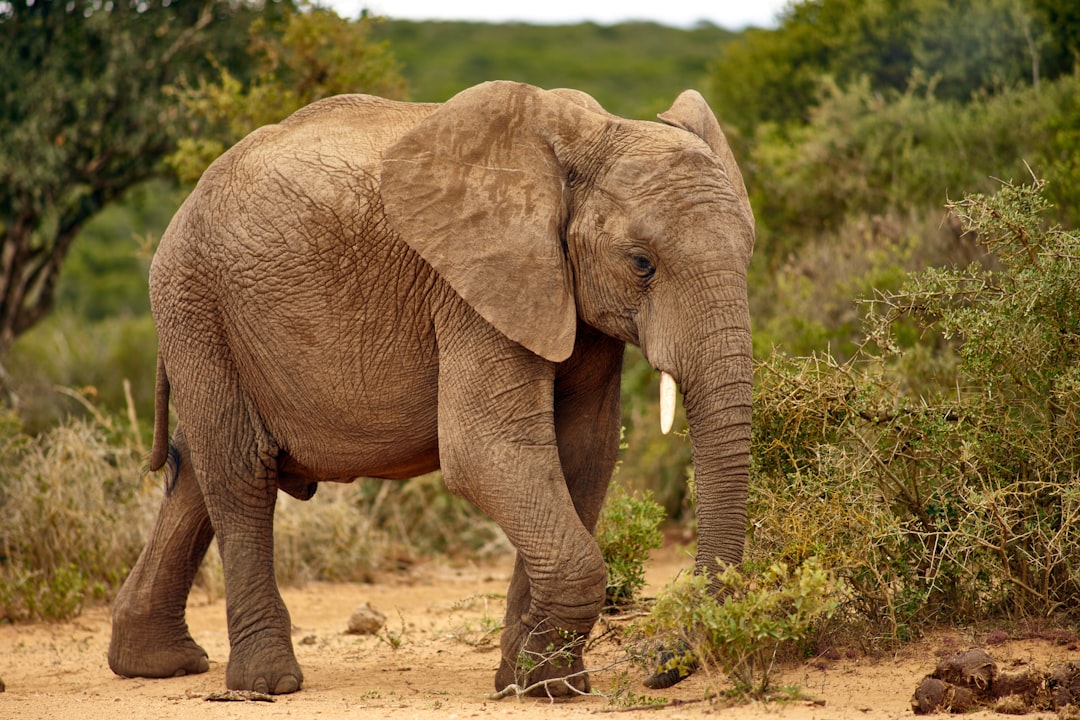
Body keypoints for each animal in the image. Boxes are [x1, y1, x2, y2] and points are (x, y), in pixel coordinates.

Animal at [107, 80, 751, 699]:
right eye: (641, 263)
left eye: (749, 253)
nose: (663, 667)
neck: (590, 135)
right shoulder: (471, 288)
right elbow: (485, 452)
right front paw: (544, 685)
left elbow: (583, 453)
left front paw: (539, 683)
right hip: (197, 303)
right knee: (240, 471)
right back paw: (266, 685)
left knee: (196, 471)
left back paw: (154, 666)